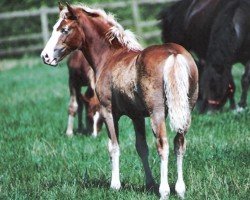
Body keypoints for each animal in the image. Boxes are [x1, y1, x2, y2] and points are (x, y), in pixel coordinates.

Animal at [40, 3, 197, 200]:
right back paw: (180, 189)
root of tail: (173, 54)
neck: (110, 55)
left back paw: (164, 190)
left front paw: (115, 185)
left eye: (64, 29)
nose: (45, 56)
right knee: (179, 144)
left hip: (158, 113)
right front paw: (149, 183)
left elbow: (114, 146)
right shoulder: (137, 116)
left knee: (163, 145)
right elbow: (141, 148)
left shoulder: (108, 112)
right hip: (186, 110)